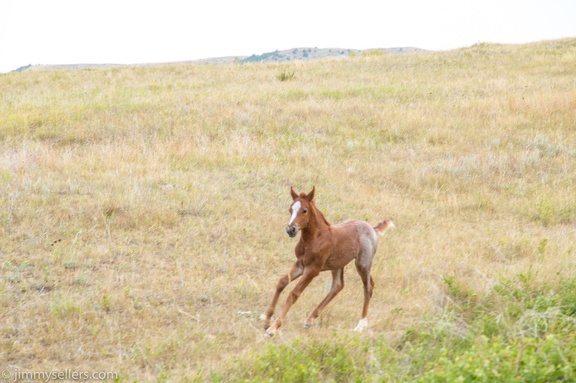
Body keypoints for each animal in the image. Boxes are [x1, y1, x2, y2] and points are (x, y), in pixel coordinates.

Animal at [262, 188, 394, 338]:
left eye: (304, 210)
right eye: (290, 209)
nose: (291, 230)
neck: (314, 238)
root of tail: (372, 228)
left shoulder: (312, 270)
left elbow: (294, 293)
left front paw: (272, 329)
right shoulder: (300, 265)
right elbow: (281, 282)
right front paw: (267, 321)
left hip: (363, 263)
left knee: (368, 287)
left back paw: (361, 324)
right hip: (337, 265)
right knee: (338, 285)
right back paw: (309, 320)